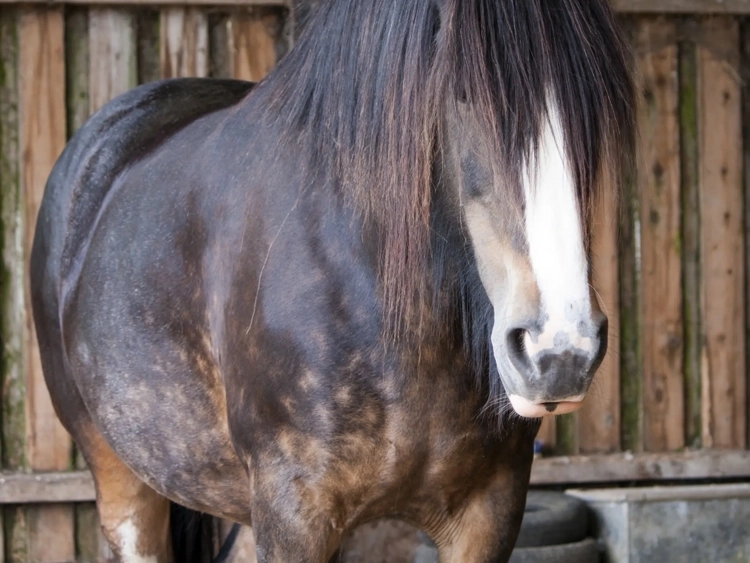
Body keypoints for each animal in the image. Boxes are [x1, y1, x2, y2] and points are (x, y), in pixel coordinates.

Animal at [30, 0, 635, 560]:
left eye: (595, 100)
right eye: (464, 91)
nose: (560, 351)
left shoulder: (490, 509)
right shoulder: (296, 512)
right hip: (123, 483)